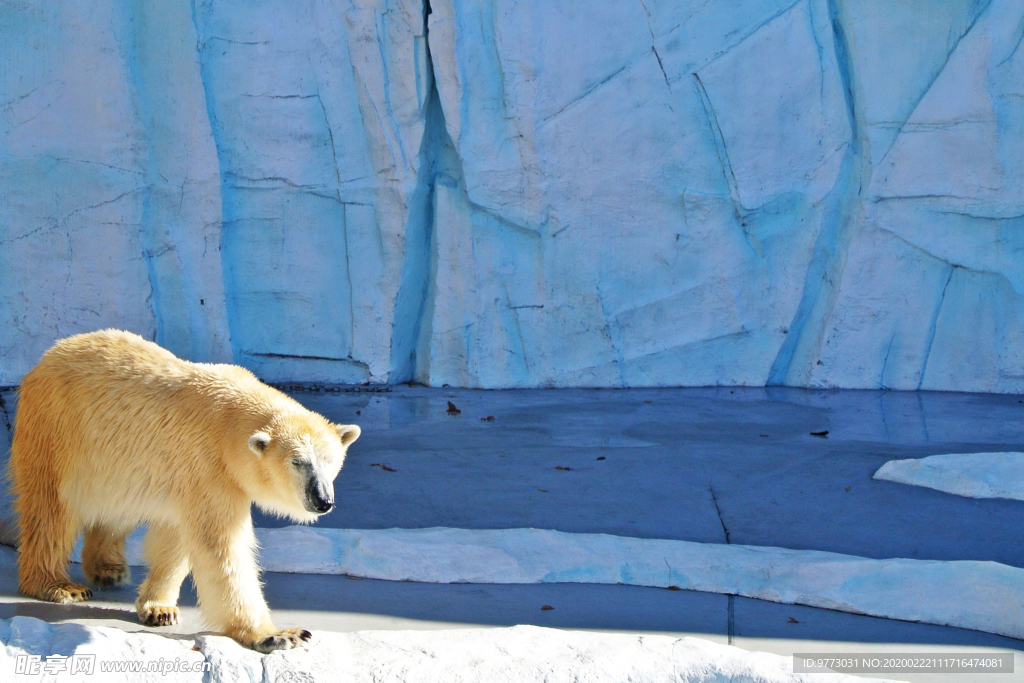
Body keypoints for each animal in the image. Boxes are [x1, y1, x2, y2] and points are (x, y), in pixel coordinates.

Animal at [7, 329, 360, 651]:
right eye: (297, 462)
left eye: (330, 460)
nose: (322, 499)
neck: (228, 420)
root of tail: (45, 360)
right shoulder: (208, 466)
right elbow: (220, 547)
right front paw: (276, 635)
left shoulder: (189, 474)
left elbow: (175, 537)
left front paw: (159, 608)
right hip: (59, 433)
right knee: (51, 509)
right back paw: (59, 585)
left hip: (116, 462)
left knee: (118, 507)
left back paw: (108, 568)